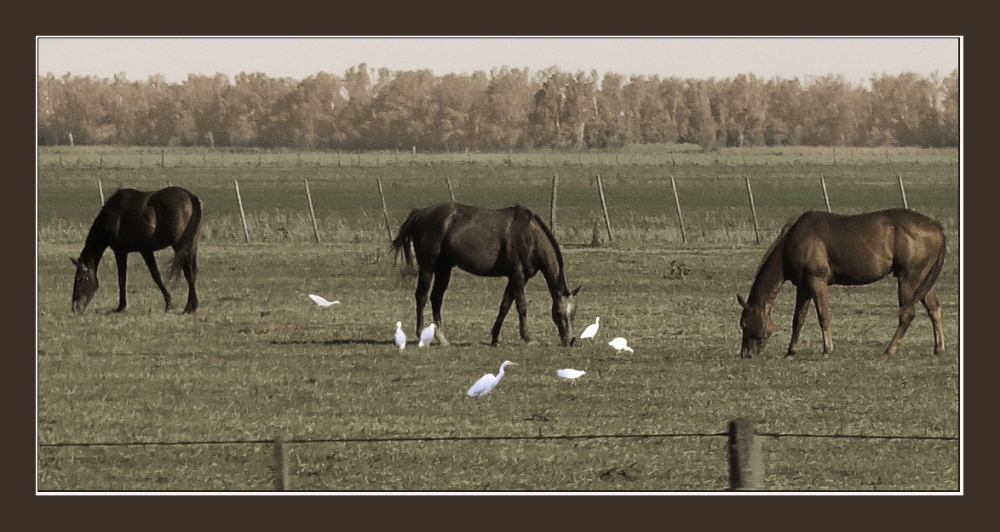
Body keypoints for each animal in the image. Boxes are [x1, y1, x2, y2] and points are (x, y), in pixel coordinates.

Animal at [72, 187, 205, 314]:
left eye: (79, 279)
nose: (75, 308)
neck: (114, 214)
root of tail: (191, 197)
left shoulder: (129, 251)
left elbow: (130, 277)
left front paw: (121, 306)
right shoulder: (136, 251)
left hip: (179, 246)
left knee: (188, 271)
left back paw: (189, 307)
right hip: (192, 246)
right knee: (193, 271)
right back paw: (192, 306)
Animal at [388, 202, 584, 348]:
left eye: (573, 313)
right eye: (558, 313)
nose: (569, 340)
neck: (529, 235)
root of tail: (420, 213)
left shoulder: (515, 278)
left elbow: (505, 305)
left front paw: (495, 338)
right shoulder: (518, 275)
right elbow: (521, 305)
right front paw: (527, 337)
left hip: (444, 268)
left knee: (436, 298)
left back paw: (442, 338)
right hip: (427, 267)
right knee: (421, 296)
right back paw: (421, 334)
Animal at [744, 206, 944, 360]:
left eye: (744, 324)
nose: (745, 353)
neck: (793, 240)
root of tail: (936, 226)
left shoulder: (817, 281)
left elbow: (823, 315)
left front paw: (827, 350)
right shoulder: (803, 287)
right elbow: (798, 319)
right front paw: (790, 352)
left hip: (908, 278)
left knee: (907, 314)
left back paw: (888, 351)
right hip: (922, 279)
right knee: (934, 308)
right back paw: (938, 348)